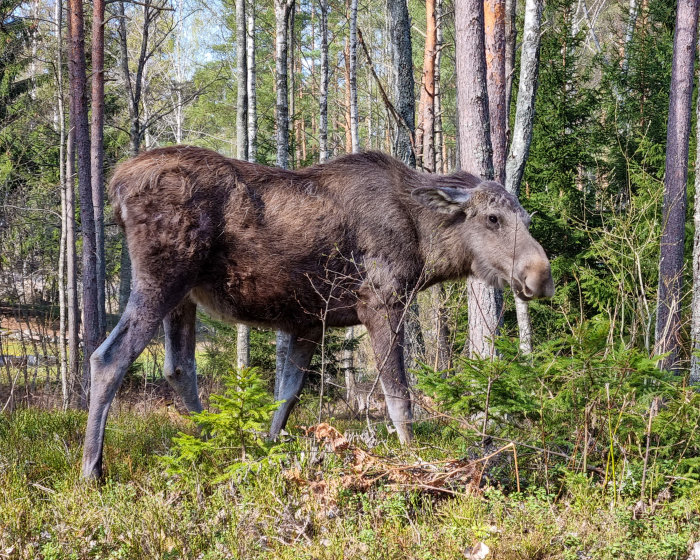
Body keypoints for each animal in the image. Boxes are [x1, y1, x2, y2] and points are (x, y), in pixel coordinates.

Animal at [80, 147, 552, 480]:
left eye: (527, 219)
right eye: (492, 218)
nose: (541, 276)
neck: (425, 247)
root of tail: (117, 184)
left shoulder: (308, 322)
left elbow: (286, 395)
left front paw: (267, 450)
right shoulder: (381, 302)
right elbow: (398, 396)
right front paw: (413, 458)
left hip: (184, 296)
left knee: (179, 367)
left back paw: (216, 442)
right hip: (163, 278)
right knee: (109, 357)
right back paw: (92, 470)